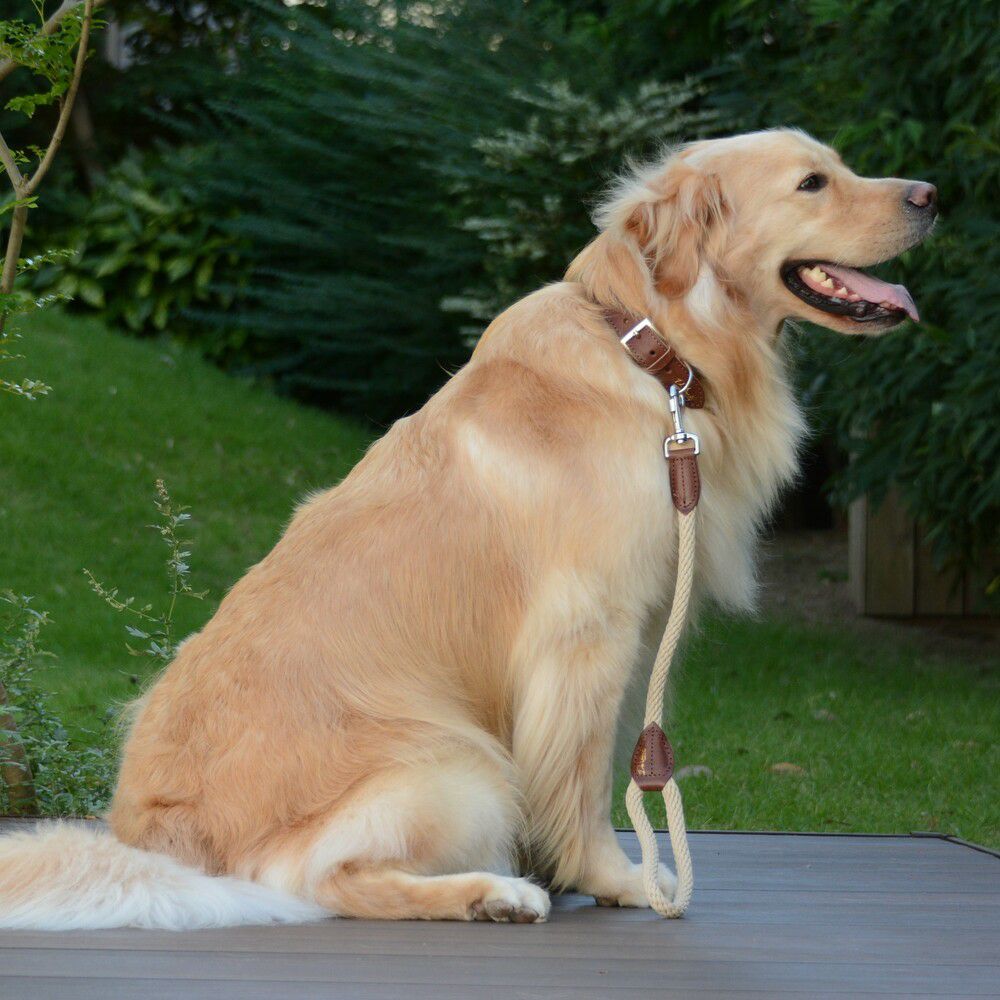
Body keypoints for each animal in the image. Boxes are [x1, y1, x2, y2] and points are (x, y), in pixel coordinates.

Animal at [0, 129, 936, 928]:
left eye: (839, 165)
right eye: (812, 183)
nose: (931, 193)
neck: (652, 351)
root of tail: (158, 843)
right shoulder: (586, 635)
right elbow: (584, 781)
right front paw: (615, 877)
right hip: (463, 762)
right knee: (321, 879)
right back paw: (495, 895)